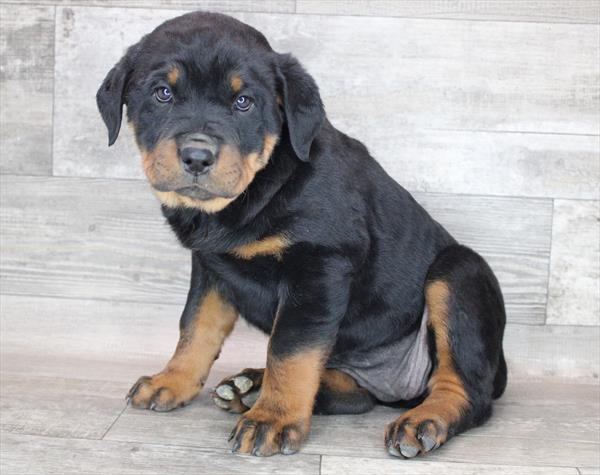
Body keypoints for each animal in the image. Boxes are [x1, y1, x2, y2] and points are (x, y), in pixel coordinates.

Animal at [97, 10, 506, 458]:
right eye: (162, 94)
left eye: (244, 102)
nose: (197, 156)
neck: (253, 193)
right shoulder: (210, 267)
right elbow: (195, 327)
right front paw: (171, 381)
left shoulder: (319, 266)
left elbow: (290, 350)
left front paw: (272, 420)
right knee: (357, 397)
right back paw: (249, 387)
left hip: (459, 273)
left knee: (467, 389)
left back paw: (423, 421)